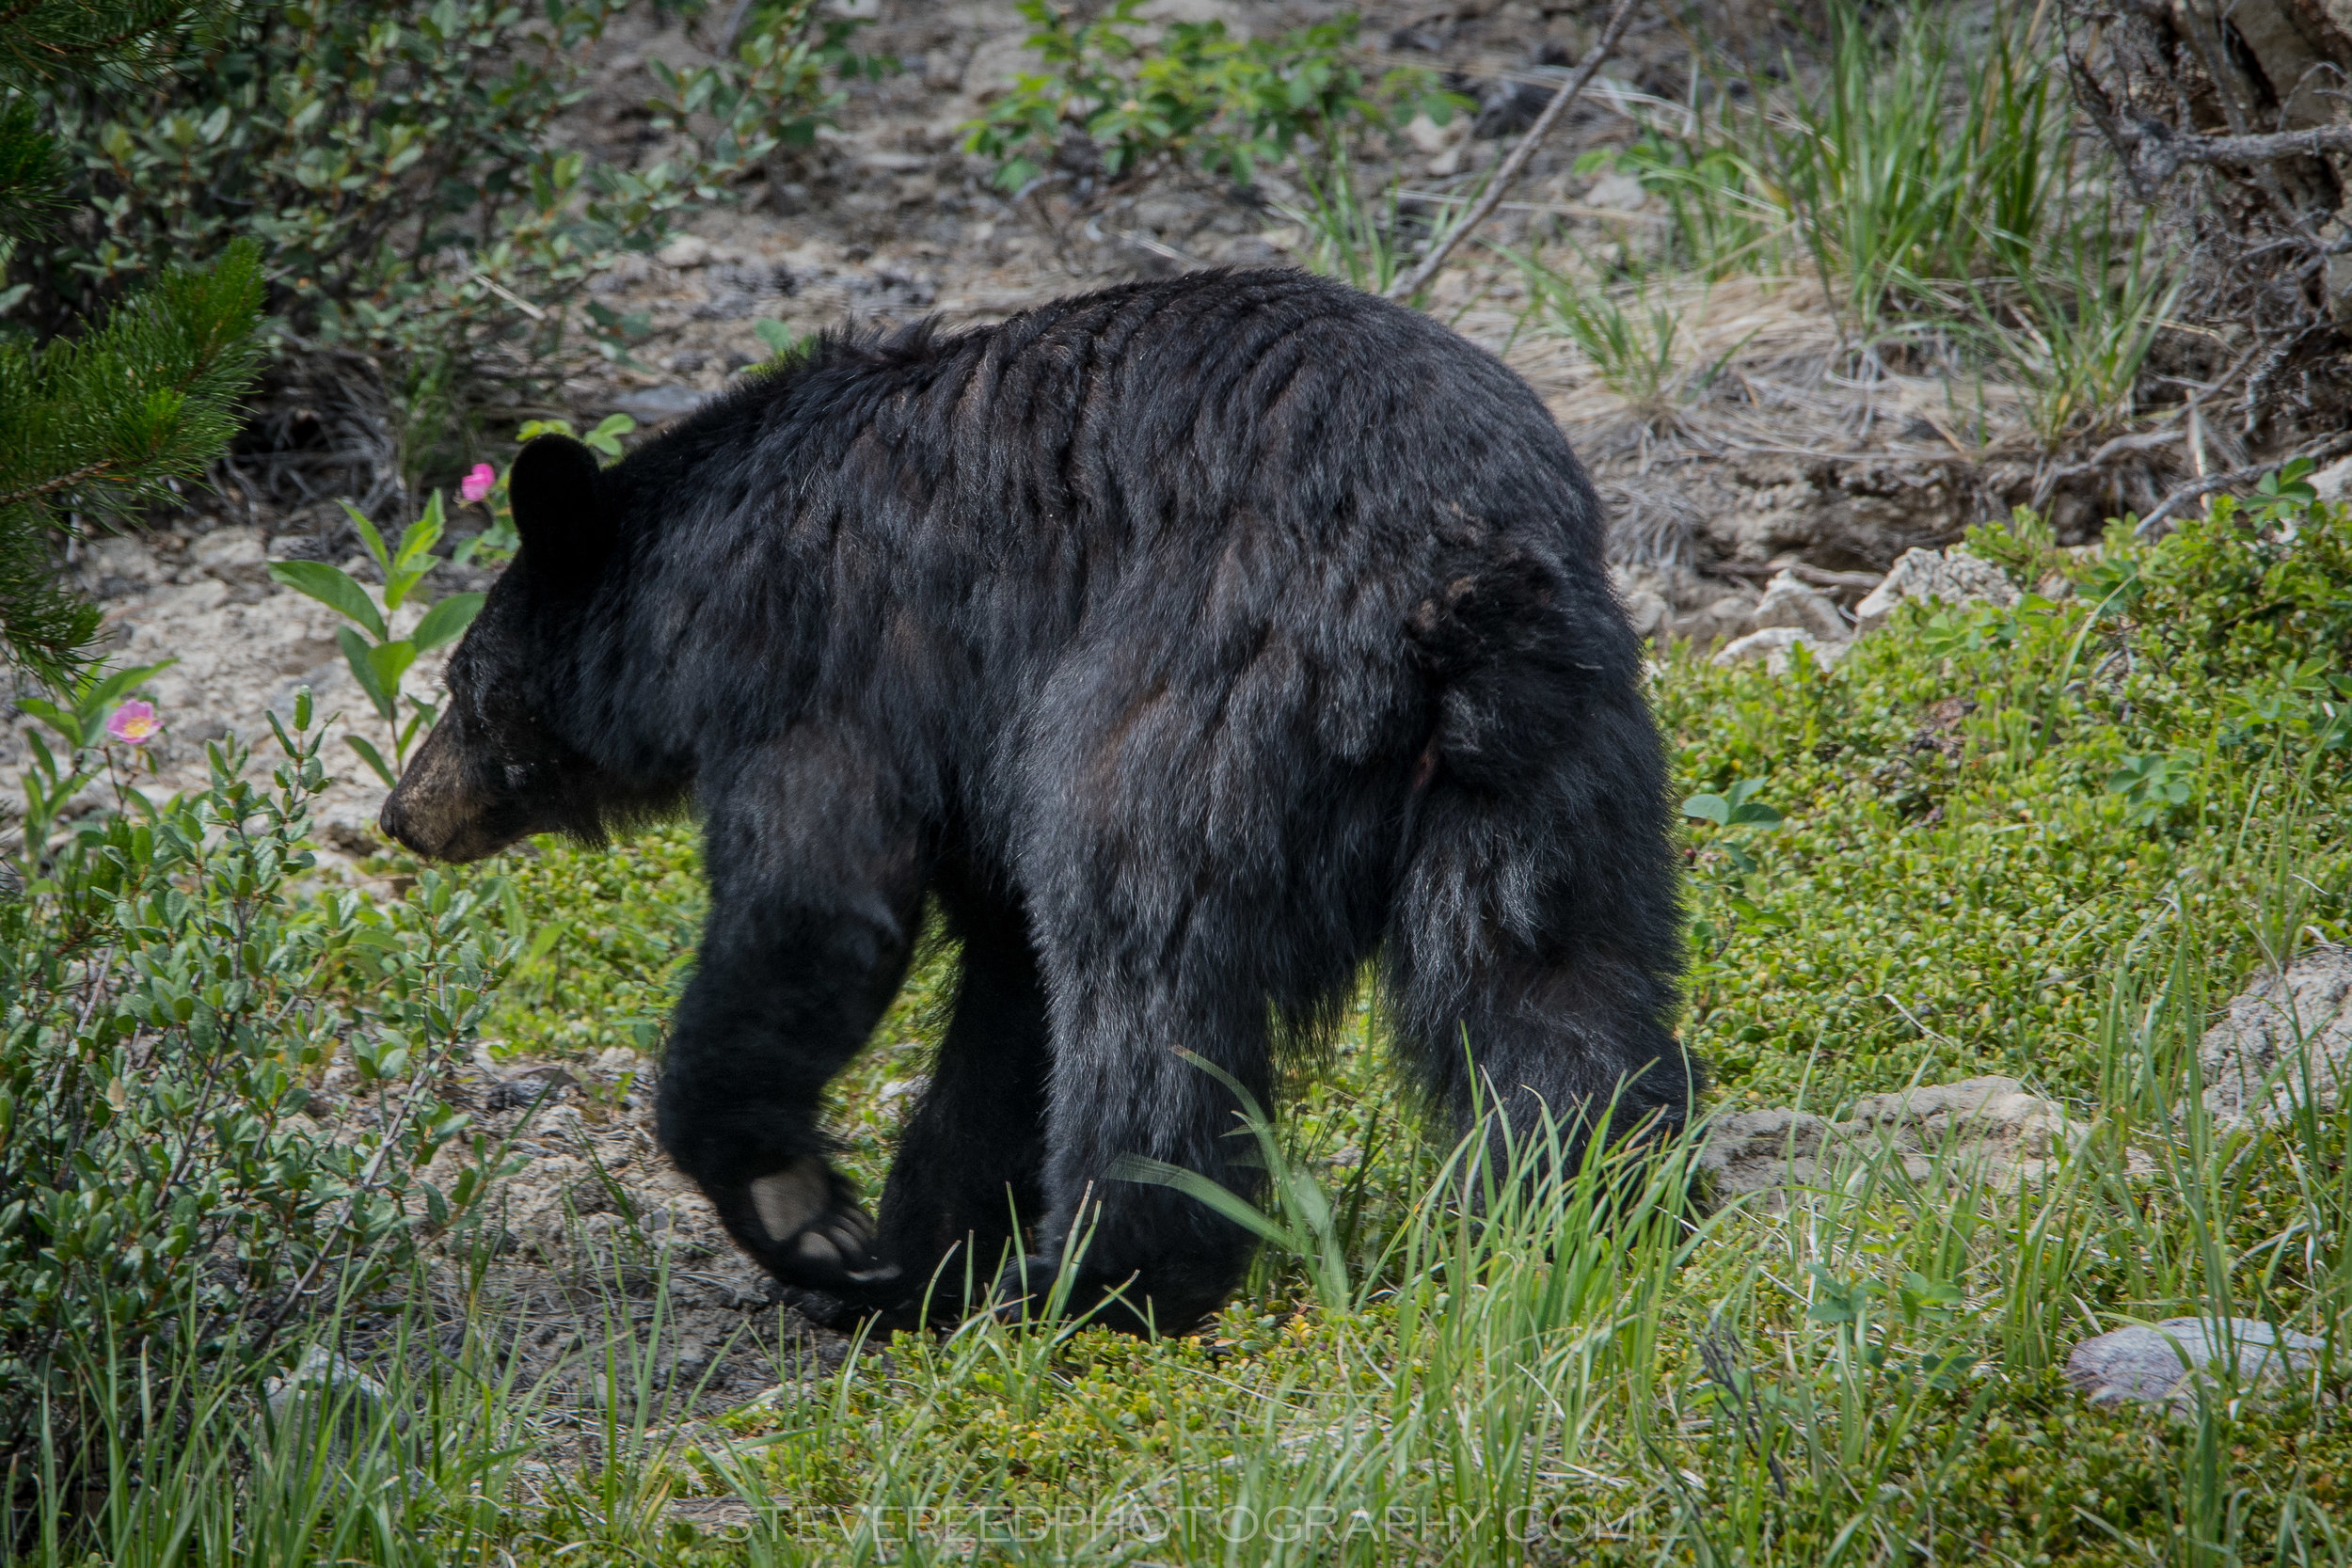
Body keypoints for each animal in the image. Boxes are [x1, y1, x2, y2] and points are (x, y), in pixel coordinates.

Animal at [390, 262, 1712, 1335]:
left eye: (461, 683)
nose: (402, 813)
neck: (698, 567)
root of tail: (1460, 571)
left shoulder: (826, 659)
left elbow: (816, 900)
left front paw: (806, 1217)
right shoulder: (978, 763)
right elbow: (1003, 989)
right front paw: (913, 1260)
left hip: (1187, 694)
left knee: (1139, 968)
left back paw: (1100, 1278)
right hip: (1553, 763)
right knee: (1551, 985)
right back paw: (1590, 1213)